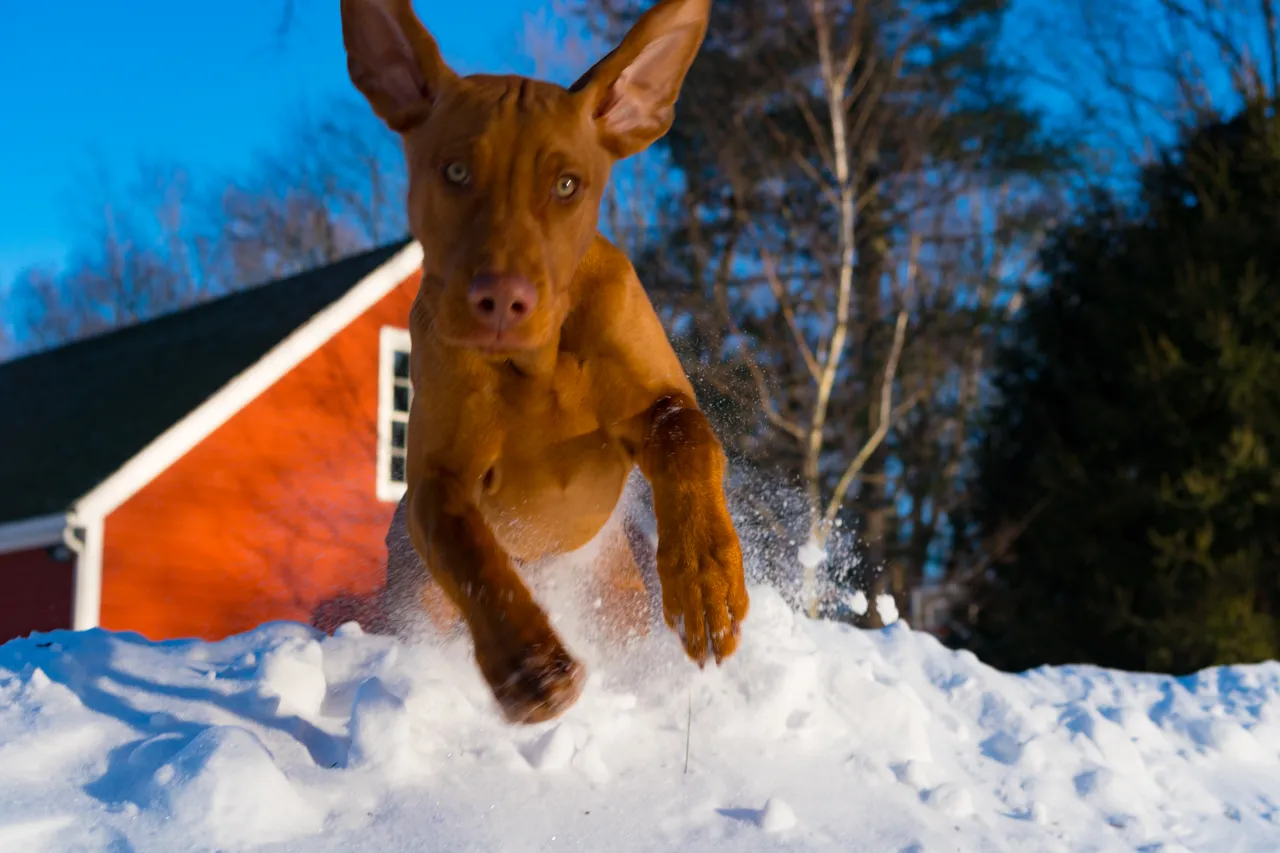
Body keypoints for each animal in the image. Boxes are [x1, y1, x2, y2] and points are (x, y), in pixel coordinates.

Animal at [340, 0, 747, 722]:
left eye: (566, 185)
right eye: (455, 172)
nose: (502, 298)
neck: (535, 363)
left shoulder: (655, 401)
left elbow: (687, 439)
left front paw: (705, 579)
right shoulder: (438, 478)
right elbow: (467, 546)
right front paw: (529, 663)